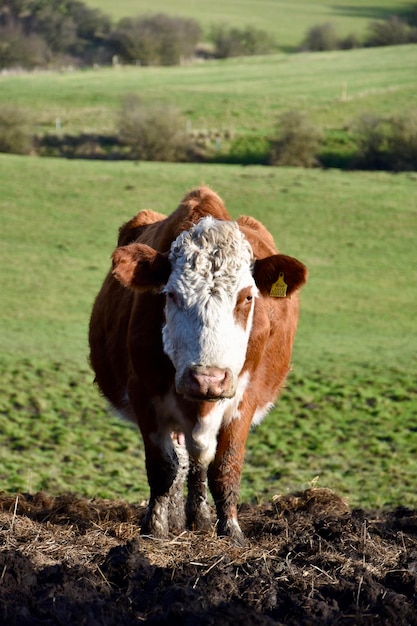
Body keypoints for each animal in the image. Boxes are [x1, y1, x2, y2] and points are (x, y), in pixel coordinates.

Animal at [89, 184, 308, 540]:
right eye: (171, 294)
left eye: (247, 297)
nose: (208, 379)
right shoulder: (143, 391)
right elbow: (163, 467)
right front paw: (156, 527)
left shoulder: (244, 396)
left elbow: (224, 466)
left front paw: (229, 529)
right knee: (181, 459)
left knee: (198, 459)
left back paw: (199, 517)